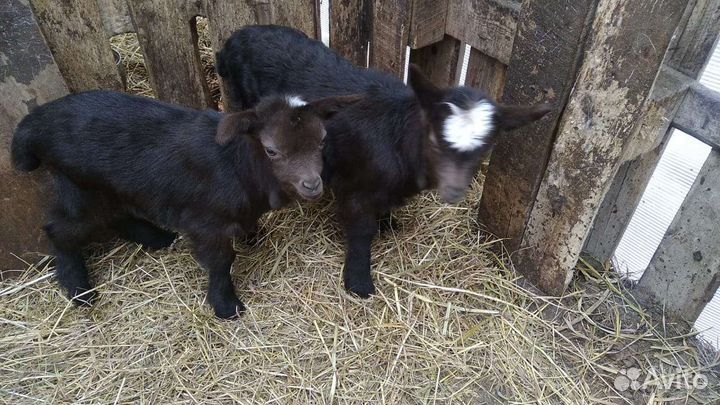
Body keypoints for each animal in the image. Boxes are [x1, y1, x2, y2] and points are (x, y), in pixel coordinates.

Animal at [12, 90, 359, 318]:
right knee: (60, 229)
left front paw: (252, 236)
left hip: (104, 188)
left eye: (322, 140)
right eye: (271, 150)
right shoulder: (206, 223)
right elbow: (220, 261)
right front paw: (226, 305)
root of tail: (32, 126)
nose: (312, 184)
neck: (239, 165)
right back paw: (79, 290)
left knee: (116, 215)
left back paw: (157, 238)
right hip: (80, 188)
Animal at [216, 25, 551, 298]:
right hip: (238, 102)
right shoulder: (354, 189)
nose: (454, 191)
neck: (397, 138)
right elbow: (361, 233)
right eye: (433, 137)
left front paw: (388, 224)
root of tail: (233, 39)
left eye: (485, 147)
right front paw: (358, 282)